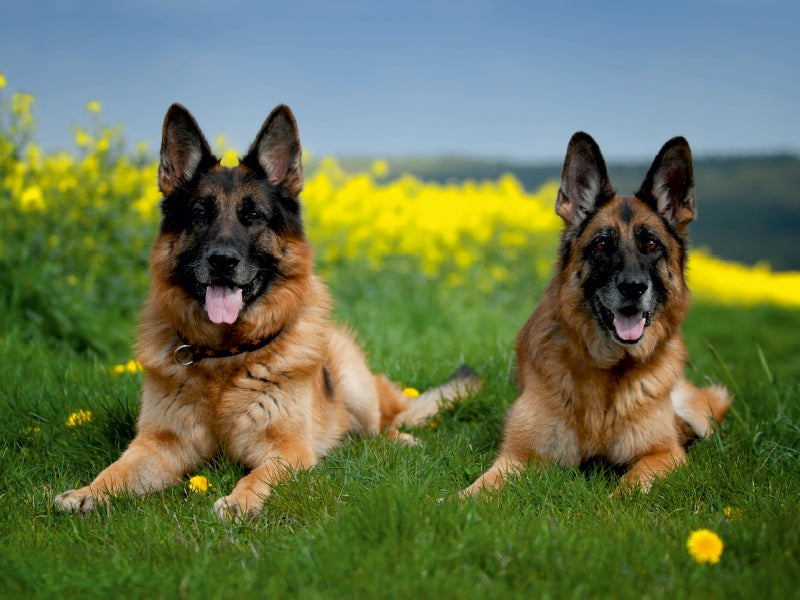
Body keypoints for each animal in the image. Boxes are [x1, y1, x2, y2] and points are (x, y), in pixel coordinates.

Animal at [57, 103, 482, 520]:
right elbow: (117, 469)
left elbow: (259, 476)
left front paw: (239, 500)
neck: (224, 357)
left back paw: (398, 439)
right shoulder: (157, 445)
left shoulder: (287, 452)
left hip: (353, 381)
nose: (222, 261)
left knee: (379, 425)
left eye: (254, 216)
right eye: (199, 215)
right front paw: (87, 492)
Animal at [462, 134, 732, 494]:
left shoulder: (663, 455)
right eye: (602, 245)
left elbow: (628, 488)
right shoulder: (517, 456)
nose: (633, 287)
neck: (609, 373)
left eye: (651, 245)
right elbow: (477, 490)